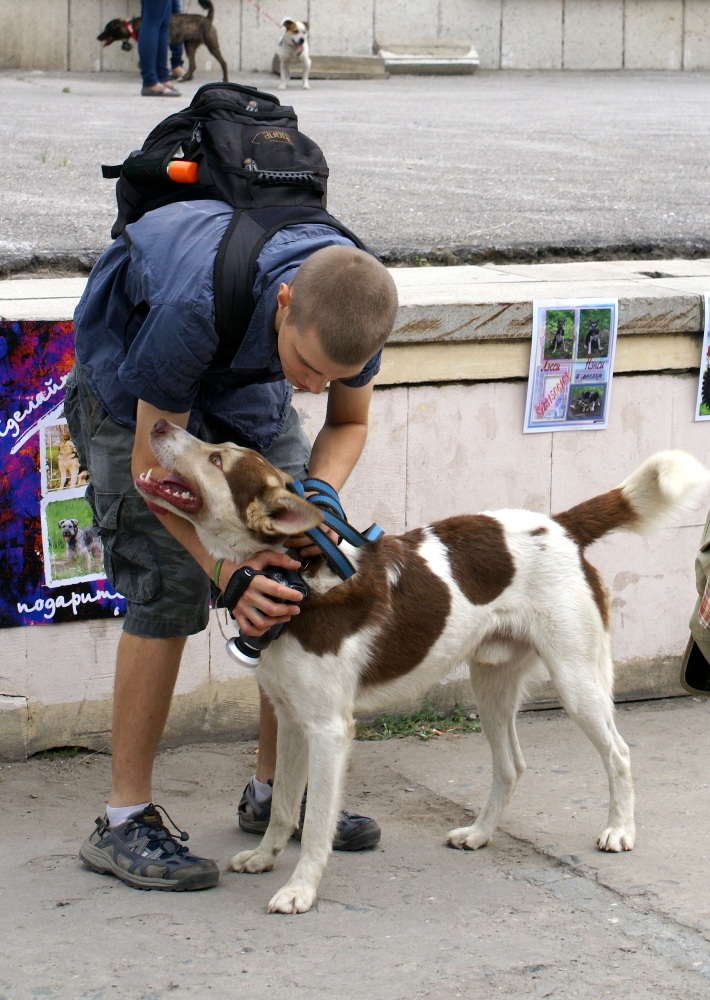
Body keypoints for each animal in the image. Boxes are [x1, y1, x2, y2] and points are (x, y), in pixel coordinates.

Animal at [98, 0, 228, 82]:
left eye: (107, 29)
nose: (98, 37)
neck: (132, 26)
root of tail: (207, 19)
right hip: (189, 46)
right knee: (193, 65)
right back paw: (186, 78)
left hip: (212, 44)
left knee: (223, 62)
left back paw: (225, 79)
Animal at [135, 422, 710, 916]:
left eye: (217, 458)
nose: (158, 424)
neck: (298, 576)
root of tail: (561, 526)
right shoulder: (292, 720)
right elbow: (282, 806)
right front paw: (264, 858)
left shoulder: (329, 730)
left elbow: (316, 821)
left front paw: (301, 889)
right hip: (491, 682)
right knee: (511, 764)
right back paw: (479, 834)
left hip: (576, 678)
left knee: (618, 752)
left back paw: (620, 831)